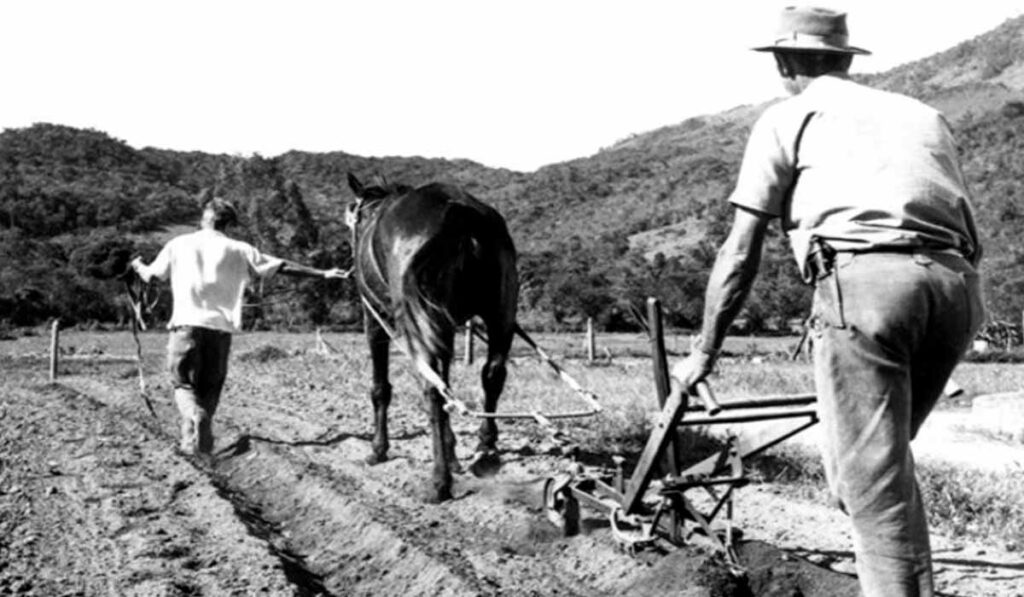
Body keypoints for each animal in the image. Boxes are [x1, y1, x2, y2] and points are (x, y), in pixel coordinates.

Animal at [346, 173, 520, 503]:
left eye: (354, 217)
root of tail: (460, 211)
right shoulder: (444, 326)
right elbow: (448, 380)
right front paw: (453, 453)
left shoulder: (374, 317)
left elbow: (380, 388)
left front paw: (378, 450)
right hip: (500, 313)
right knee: (491, 375)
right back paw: (486, 448)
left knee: (431, 388)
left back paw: (440, 482)